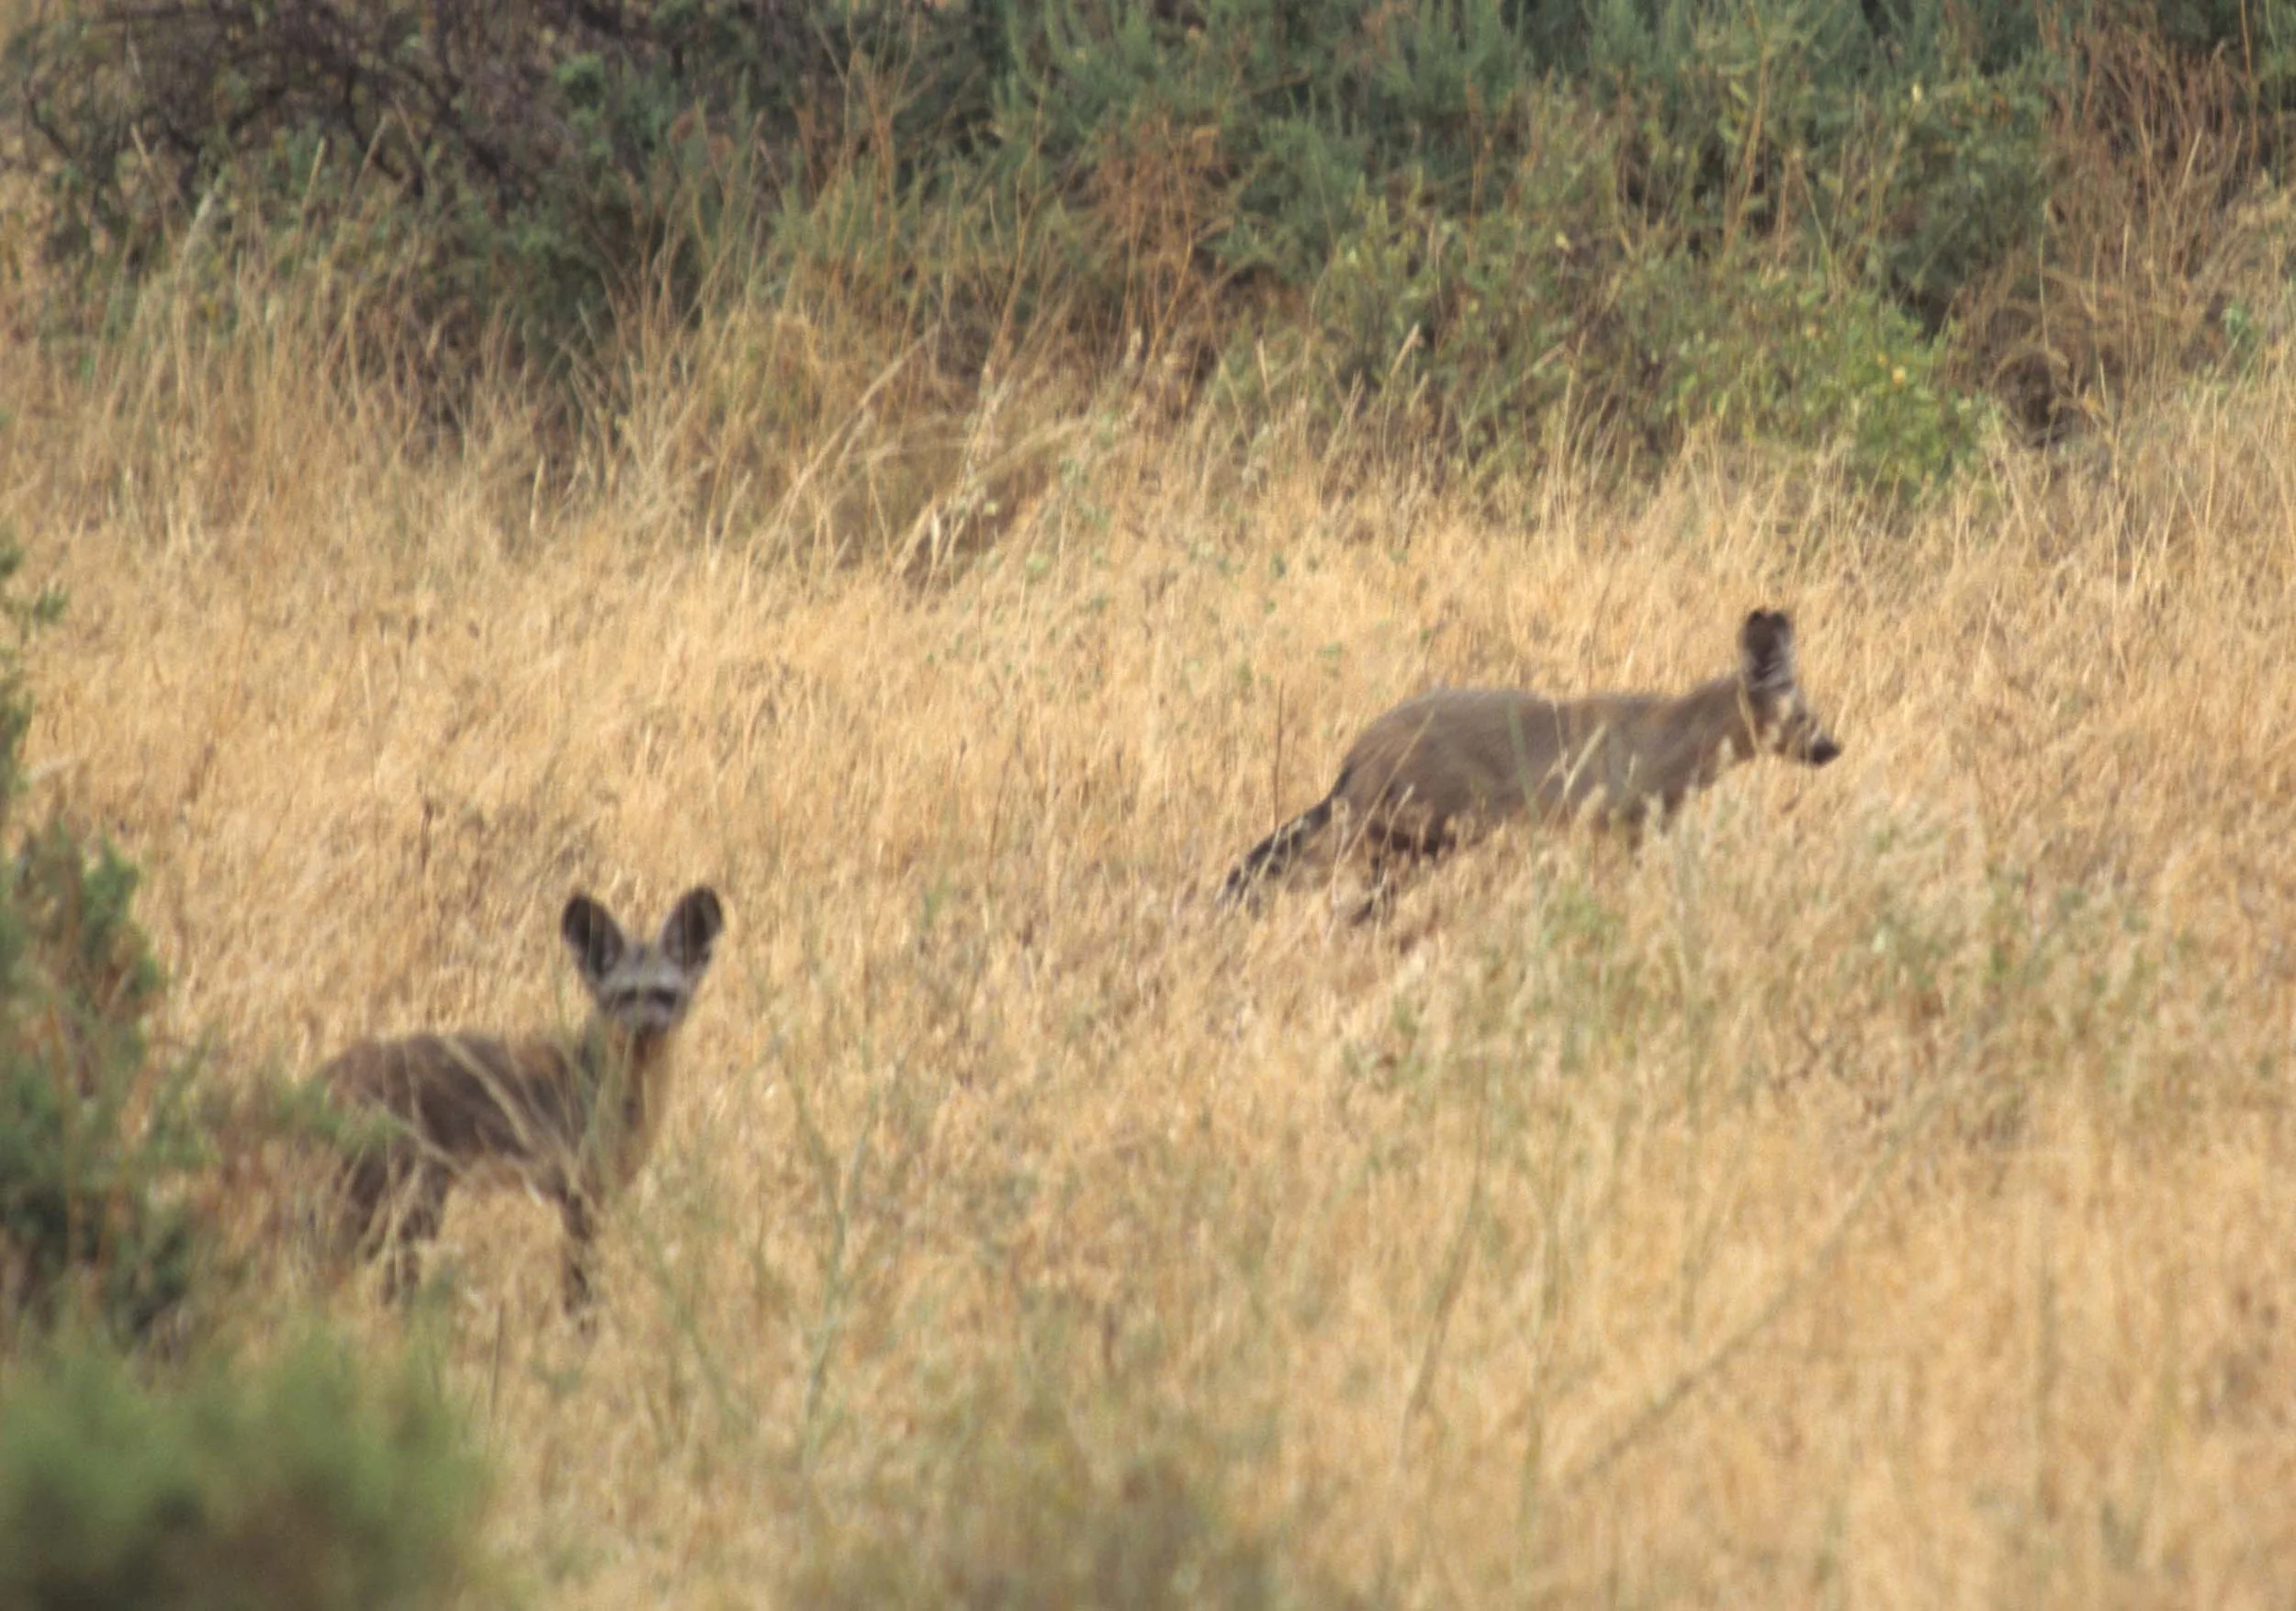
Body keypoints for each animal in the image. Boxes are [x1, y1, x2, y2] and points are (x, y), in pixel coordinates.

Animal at [312, 885, 724, 1317]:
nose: (645, 1026)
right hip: (395, 1208)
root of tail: (333, 1070)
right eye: (623, 996)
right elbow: (580, 1298)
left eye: (666, 995)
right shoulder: (580, 1197)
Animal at [1219, 609, 1841, 908]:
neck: (1671, 734)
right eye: (1805, 717)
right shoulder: (1616, 829)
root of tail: (1357, 751)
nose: (1833, 748)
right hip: (1424, 842)